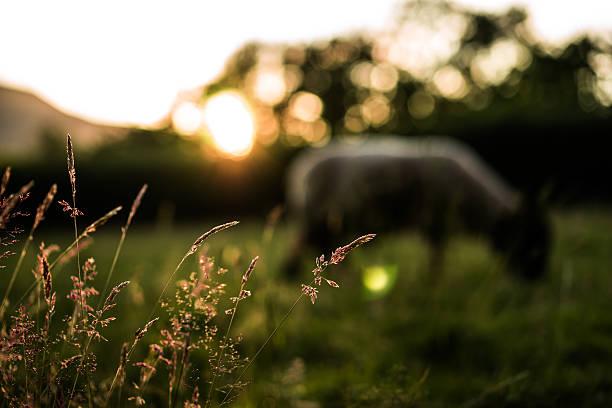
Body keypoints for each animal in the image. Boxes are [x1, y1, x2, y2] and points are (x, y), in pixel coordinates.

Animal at [286, 135, 548, 278]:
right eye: (530, 237)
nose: (537, 278)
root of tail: (303, 166)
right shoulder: (436, 223)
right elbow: (436, 262)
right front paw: (433, 286)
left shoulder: (437, 227)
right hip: (316, 217)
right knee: (305, 247)